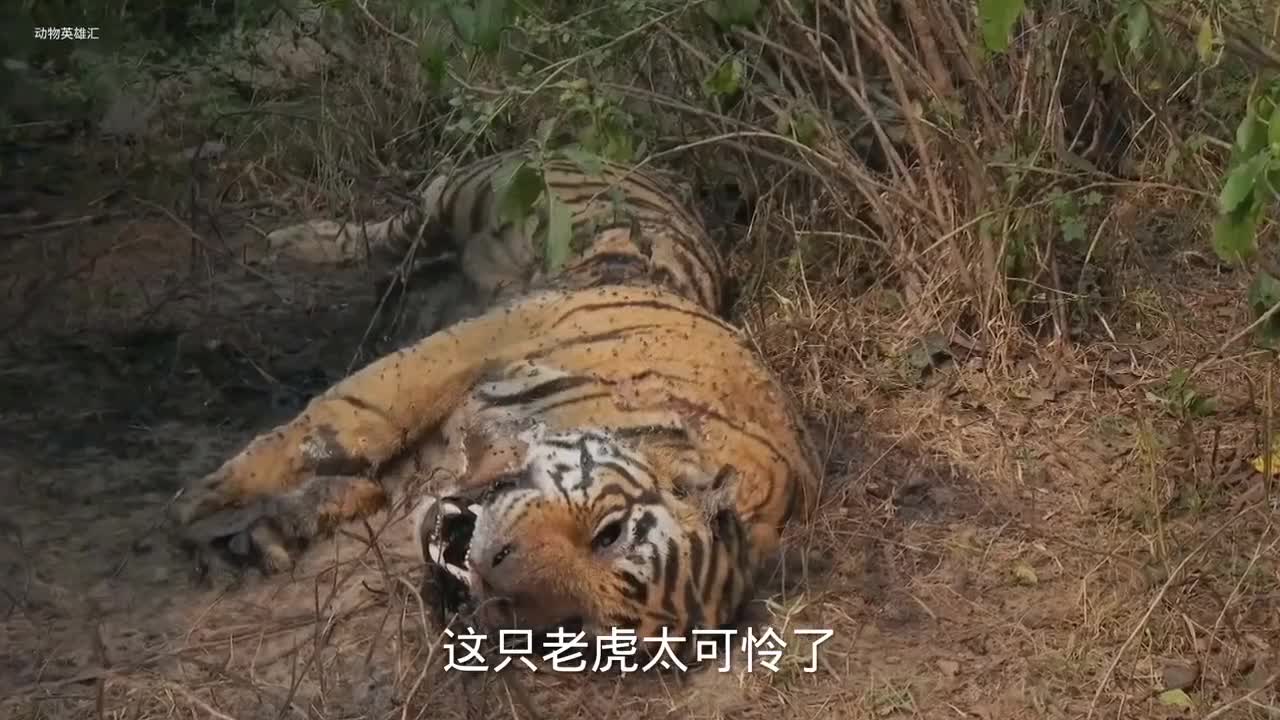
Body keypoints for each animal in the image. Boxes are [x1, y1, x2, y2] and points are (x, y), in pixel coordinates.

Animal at [169, 145, 822, 661]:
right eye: (608, 534)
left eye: (573, 629)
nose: (484, 579)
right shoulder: (468, 348)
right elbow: (348, 417)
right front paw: (203, 499)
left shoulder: (420, 473)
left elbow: (355, 486)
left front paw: (255, 540)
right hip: (463, 196)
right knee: (394, 228)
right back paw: (293, 245)